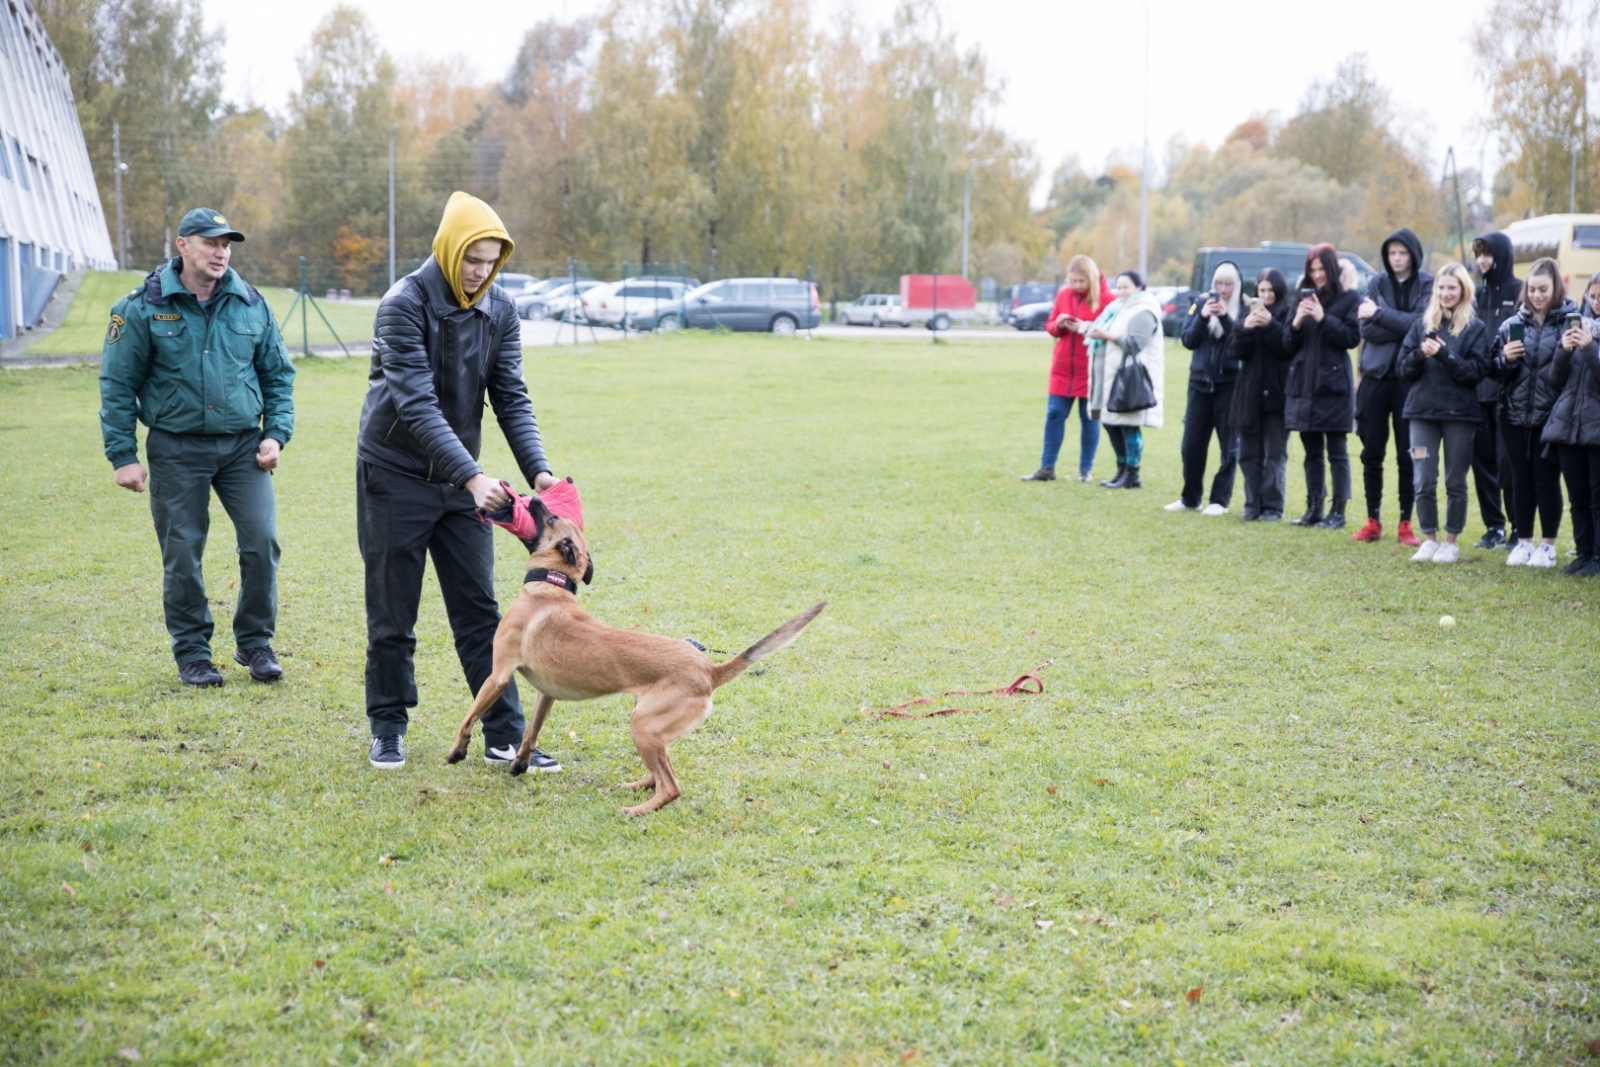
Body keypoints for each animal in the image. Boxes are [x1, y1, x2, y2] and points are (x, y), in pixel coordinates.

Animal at [448, 502, 825, 819]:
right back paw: (635, 786)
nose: (535, 500)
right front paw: (520, 764)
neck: (551, 588)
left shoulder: (498, 675)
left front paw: (457, 751)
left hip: (642, 725)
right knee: (662, 773)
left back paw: (638, 809)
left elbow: (468, 718)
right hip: (653, 729)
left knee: (671, 786)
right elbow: (530, 733)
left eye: (551, 518)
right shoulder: (547, 694)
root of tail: (709, 670)